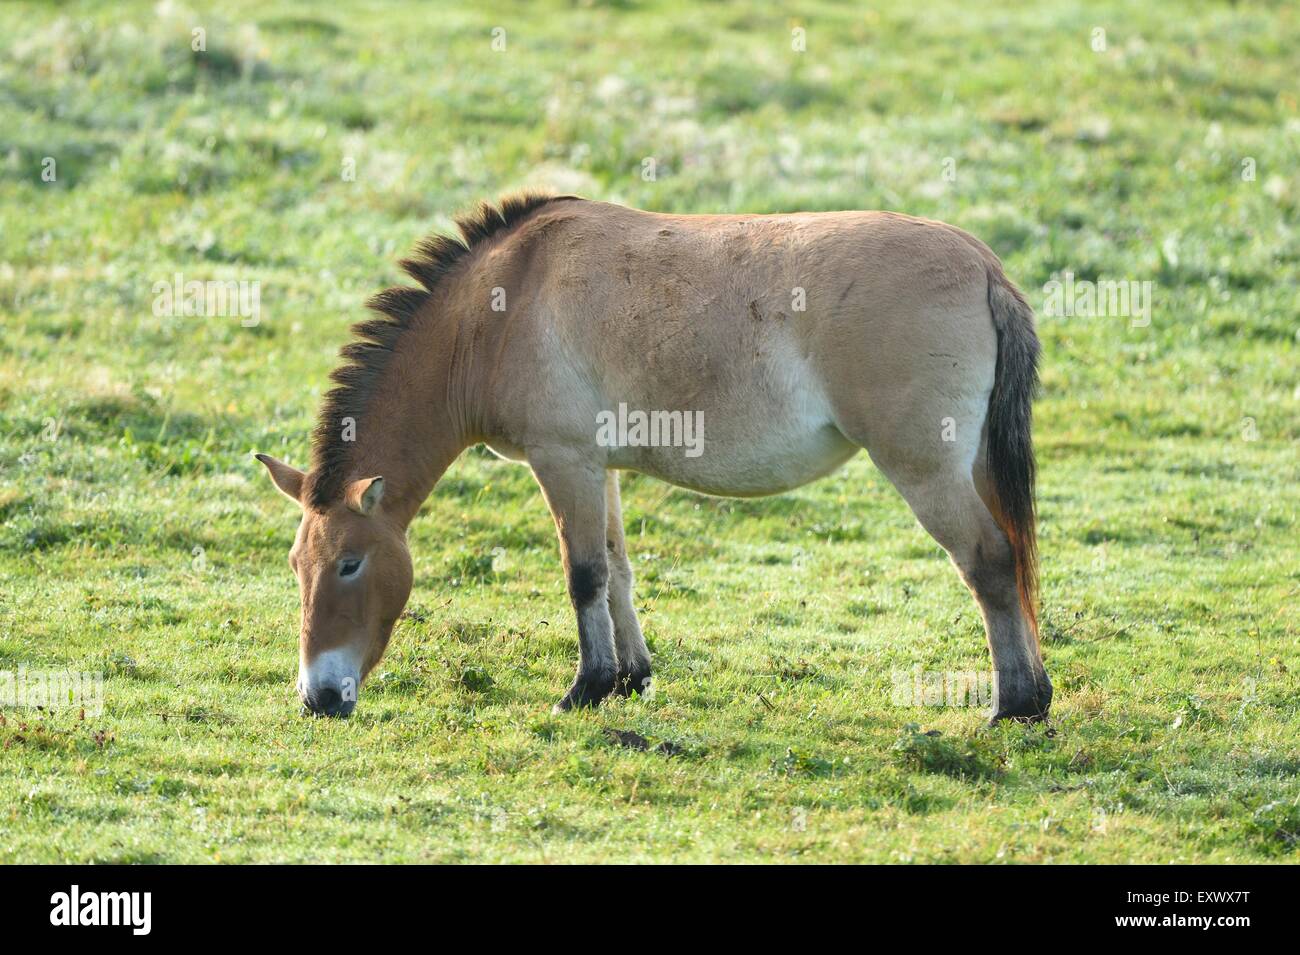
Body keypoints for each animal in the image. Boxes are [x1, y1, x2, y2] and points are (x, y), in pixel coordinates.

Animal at [255, 192, 1049, 723]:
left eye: (349, 564)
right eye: (296, 566)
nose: (318, 697)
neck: (500, 307)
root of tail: (983, 267)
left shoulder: (564, 460)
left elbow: (583, 575)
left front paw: (586, 688)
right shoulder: (598, 467)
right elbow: (618, 571)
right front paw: (630, 678)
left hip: (926, 469)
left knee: (987, 560)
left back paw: (1014, 705)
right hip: (973, 466)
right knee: (1012, 557)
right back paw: (1033, 694)